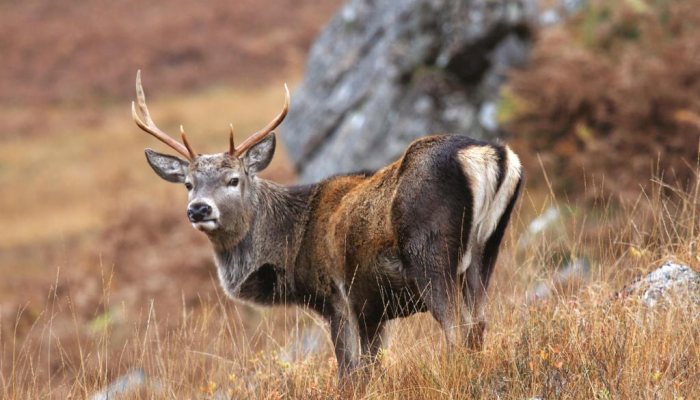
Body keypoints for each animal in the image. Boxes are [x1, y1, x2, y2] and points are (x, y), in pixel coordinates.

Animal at [132, 70, 523, 381]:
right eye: (188, 183)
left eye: (233, 180)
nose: (198, 209)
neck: (294, 245)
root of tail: (489, 155)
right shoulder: (373, 311)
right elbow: (372, 368)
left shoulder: (337, 297)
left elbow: (350, 373)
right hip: (486, 250)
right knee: (478, 324)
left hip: (431, 252)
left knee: (457, 330)